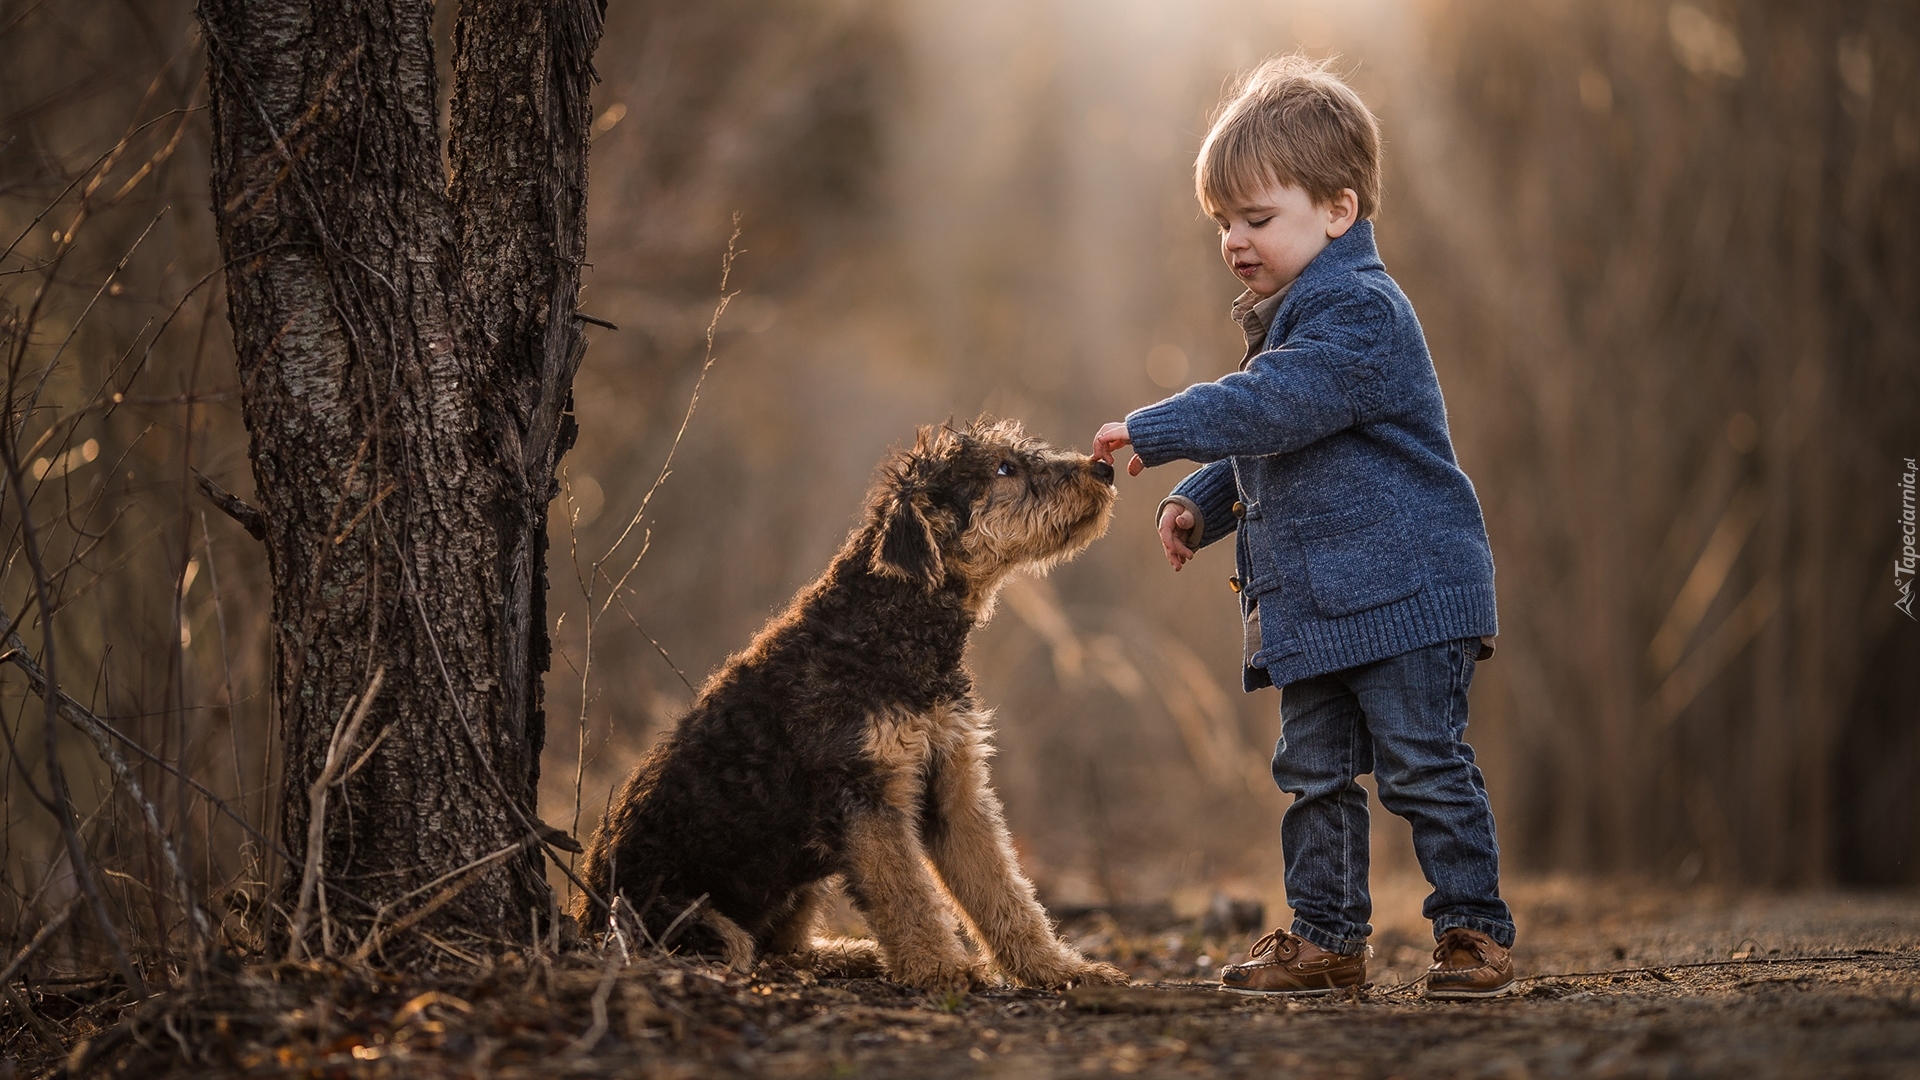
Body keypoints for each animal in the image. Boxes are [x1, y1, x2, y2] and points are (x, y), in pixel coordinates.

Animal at [576, 417, 1128, 991]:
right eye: (1004, 468)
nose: (1103, 470)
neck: (888, 627)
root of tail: (584, 916)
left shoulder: (955, 789)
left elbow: (1003, 889)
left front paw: (1058, 968)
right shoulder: (867, 794)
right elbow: (907, 894)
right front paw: (942, 968)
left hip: (802, 883)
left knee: (787, 947)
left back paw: (858, 955)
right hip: (689, 915)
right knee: (746, 950)